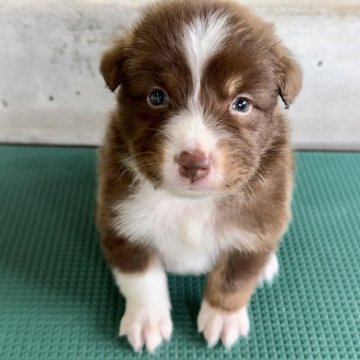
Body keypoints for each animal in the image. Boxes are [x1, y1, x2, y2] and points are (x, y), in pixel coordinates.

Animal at [95, 0, 300, 352]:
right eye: (157, 97)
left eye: (241, 104)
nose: (194, 163)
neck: (189, 203)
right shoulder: (121, 219)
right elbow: (141, 276)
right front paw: (147, 321)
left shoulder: (259, 221)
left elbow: (235, 277)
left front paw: (222, 317)